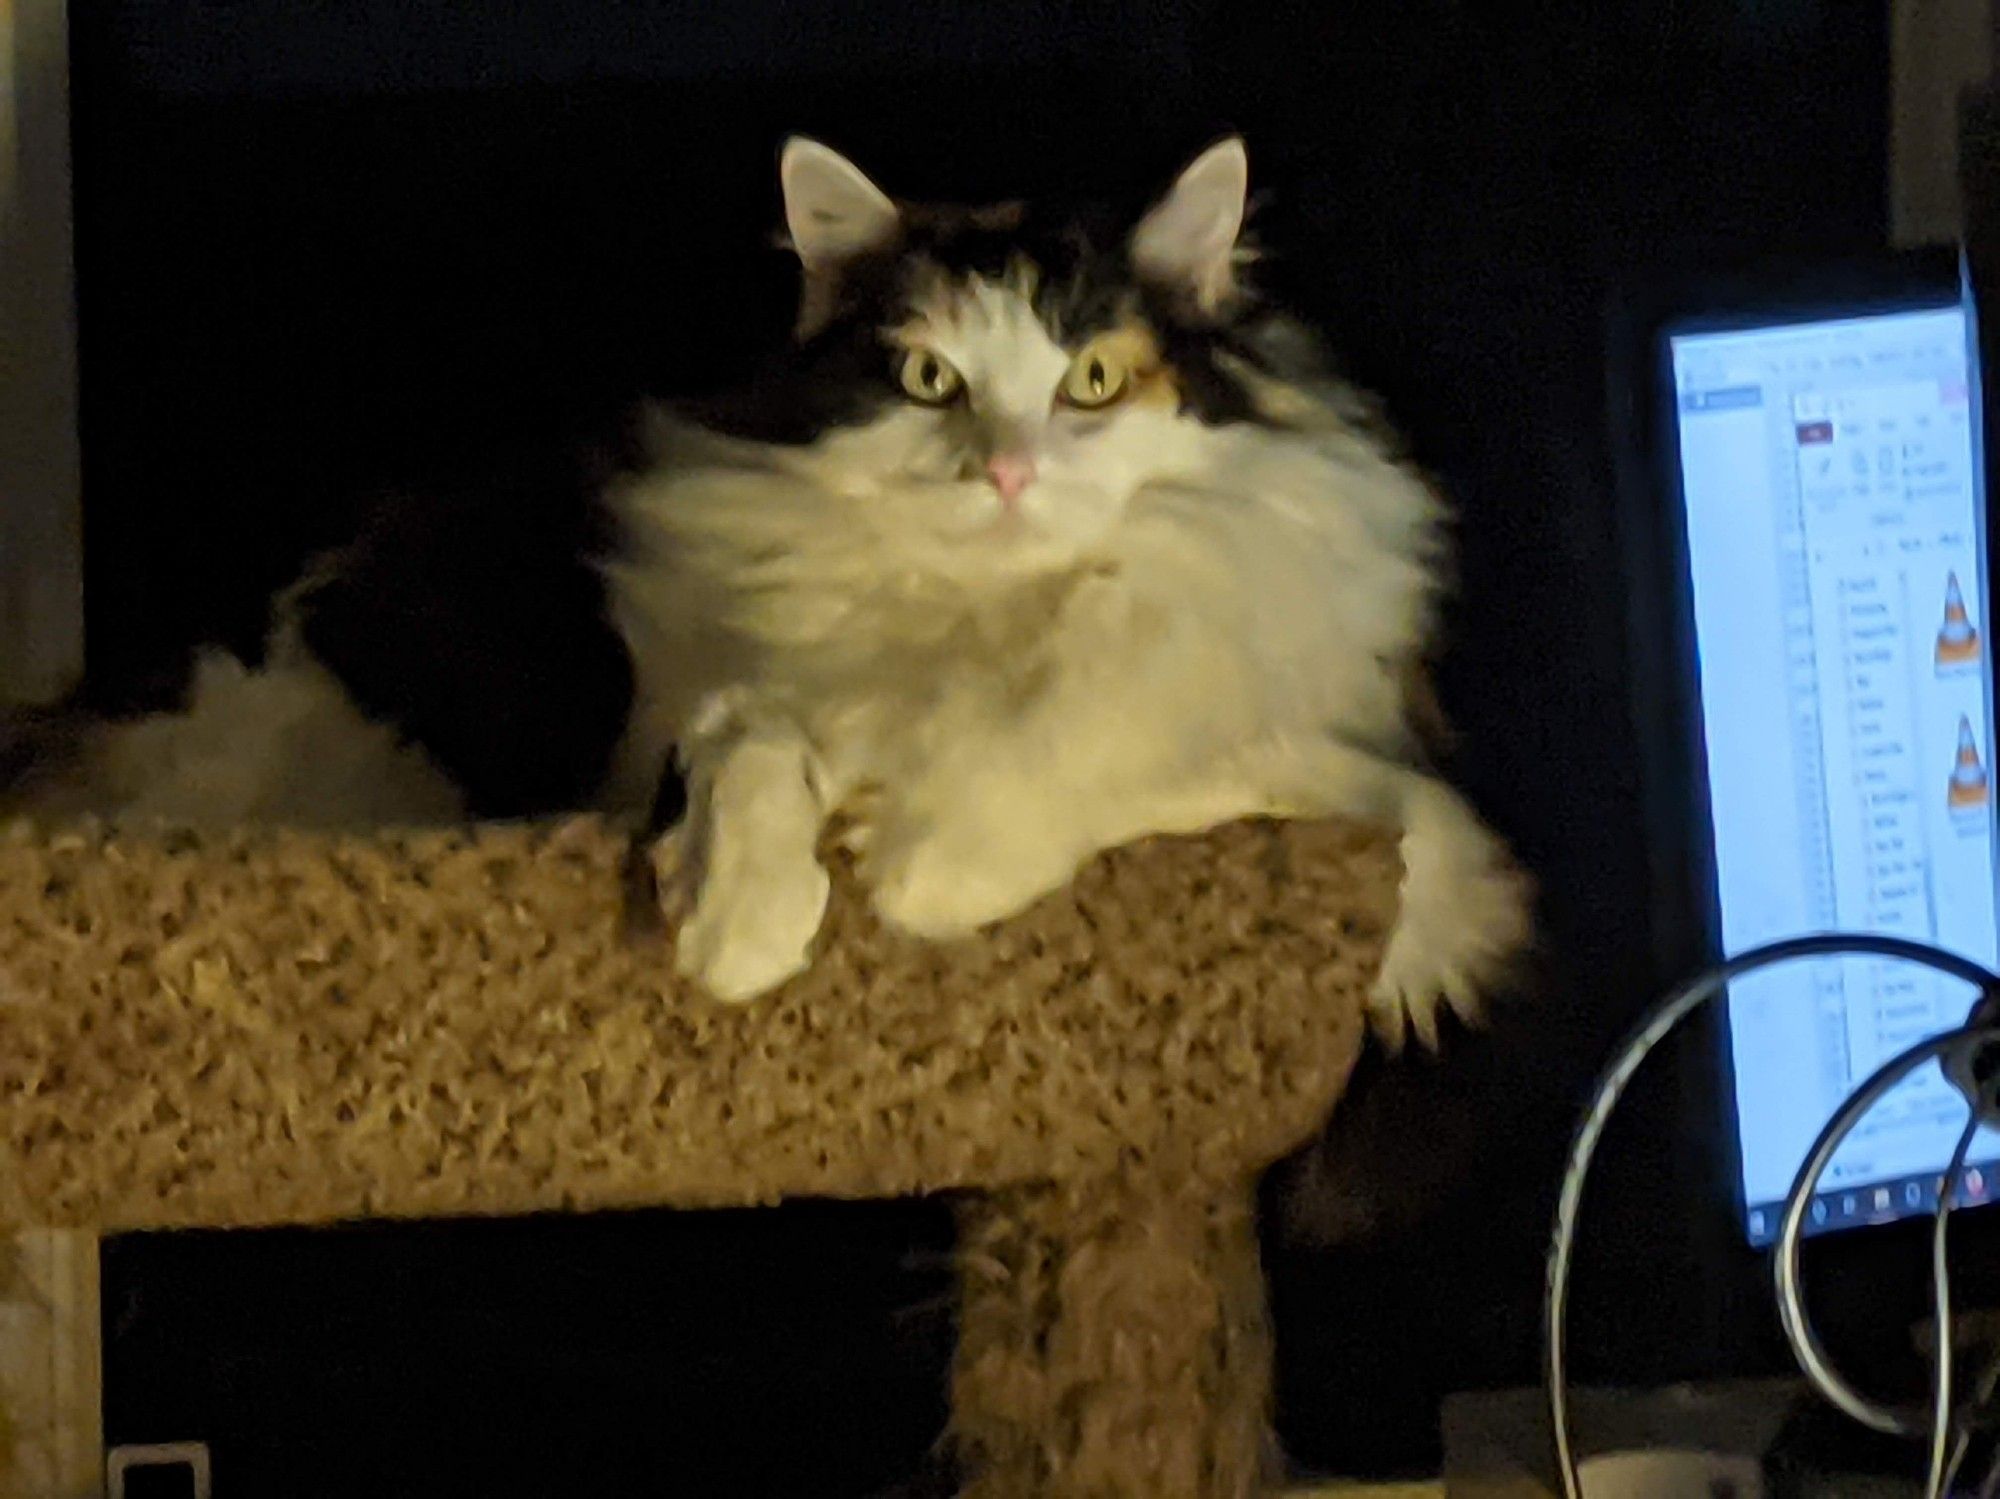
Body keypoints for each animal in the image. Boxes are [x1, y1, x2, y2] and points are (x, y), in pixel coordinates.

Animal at [3, 140, 1528, 1055]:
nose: (1009, 469)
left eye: (1094, 377)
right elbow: (753, 750)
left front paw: (917, 861)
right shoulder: (698, 712)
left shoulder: (1285, 738)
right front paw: (738, 926)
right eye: (927, 379)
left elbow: (1097, 760)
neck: (984, 621)